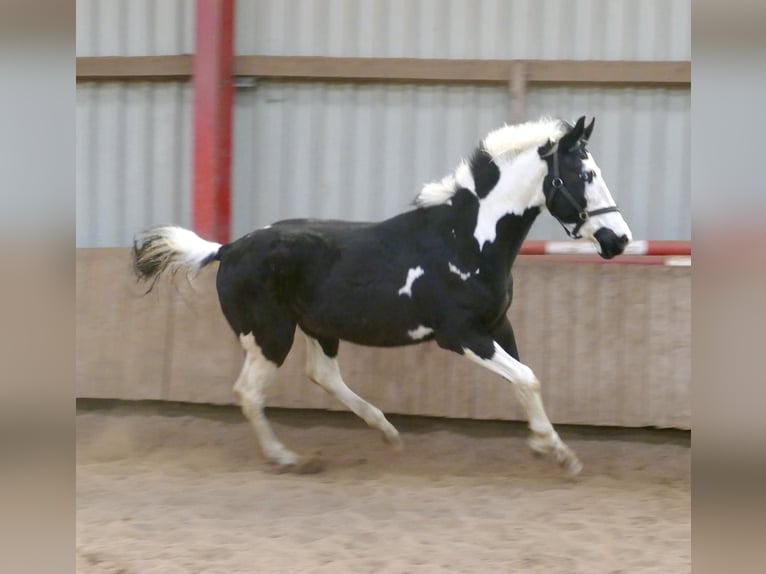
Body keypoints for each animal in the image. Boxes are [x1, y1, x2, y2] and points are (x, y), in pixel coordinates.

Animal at [132, 116, 632, 475]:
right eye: (585, 174)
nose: (619, 240)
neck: (465, 240)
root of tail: (227, 248)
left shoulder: (497, 325)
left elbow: (526, 379)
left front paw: (550, 447)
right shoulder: (462, 335)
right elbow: (527, 378)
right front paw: (557, 453)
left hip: (316, 328)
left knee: (322, 375)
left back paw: (387, 432)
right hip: (270, 336)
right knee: (249, 392)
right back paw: (287, 458)